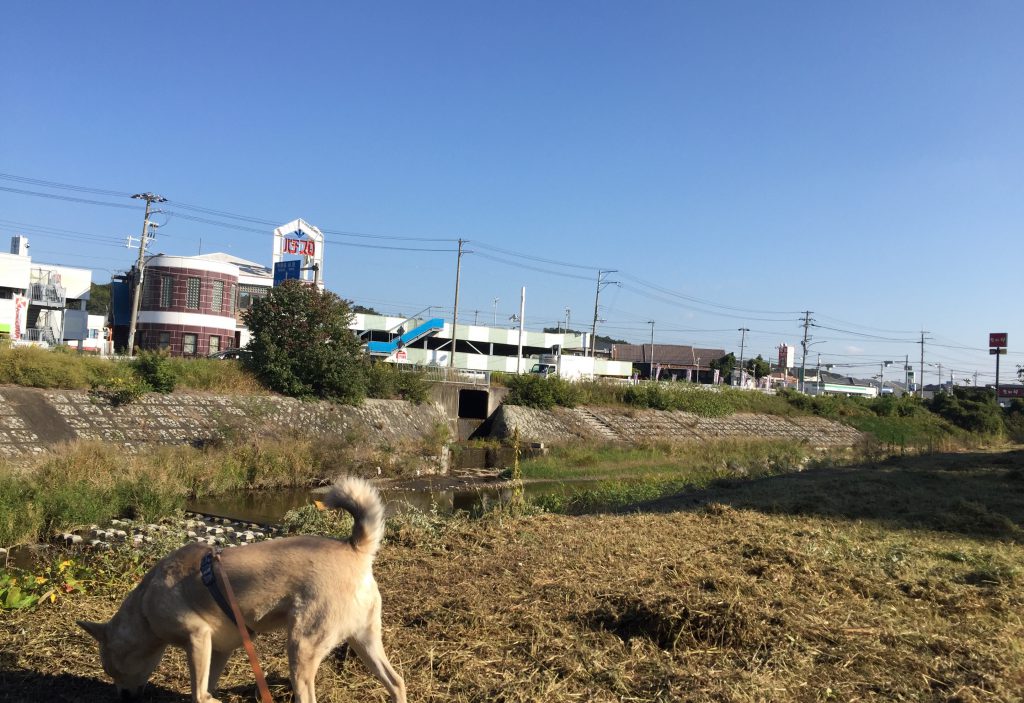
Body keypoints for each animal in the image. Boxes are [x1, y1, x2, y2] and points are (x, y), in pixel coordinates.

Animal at [77, 478, 405, 703]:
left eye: (111, 670)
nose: (122, 697)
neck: (145, 609)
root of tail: (355, 549)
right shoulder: (218, 648)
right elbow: (208, 683)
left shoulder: (197, 637)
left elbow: (199, 692)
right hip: (364, 640)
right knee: (396, 681)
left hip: (302, 646)